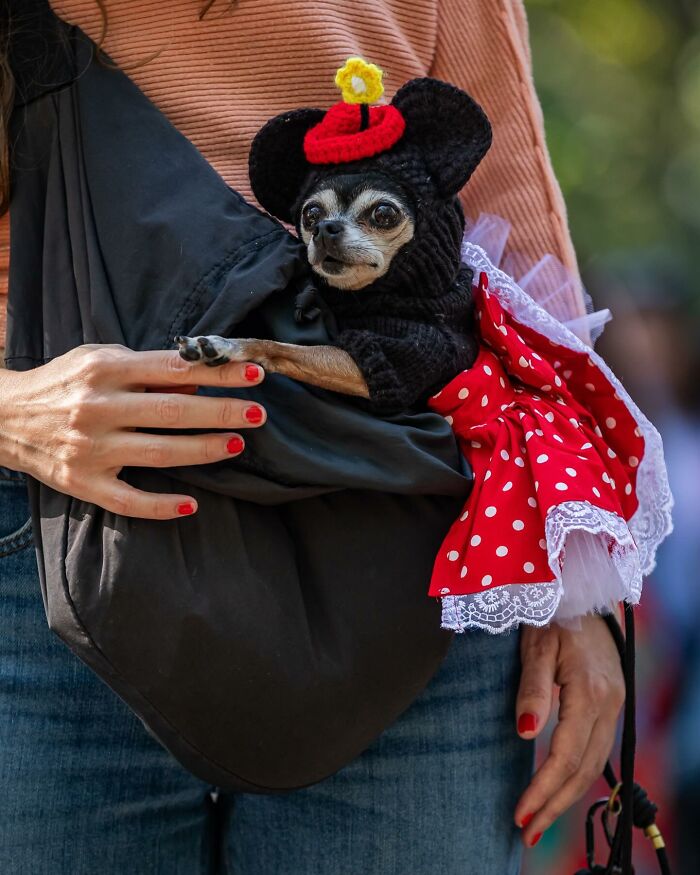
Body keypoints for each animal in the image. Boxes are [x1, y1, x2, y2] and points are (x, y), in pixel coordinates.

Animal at [176, 78, 492, 414]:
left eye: (384, 213)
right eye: (311, 214)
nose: (325, 229)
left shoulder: (396, 358)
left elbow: (280, 347)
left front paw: (230, 345)